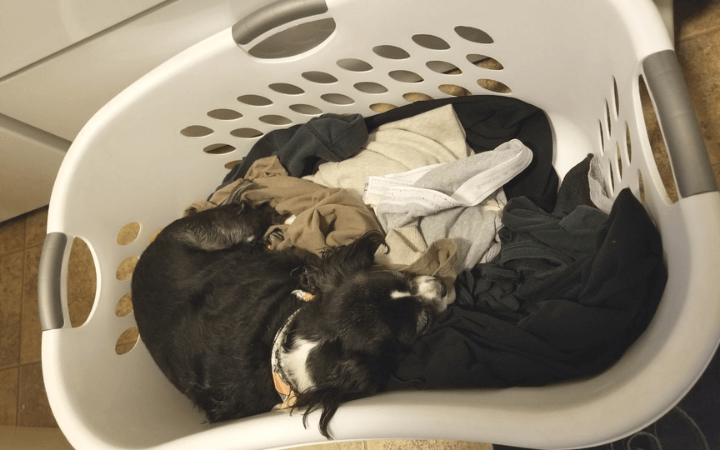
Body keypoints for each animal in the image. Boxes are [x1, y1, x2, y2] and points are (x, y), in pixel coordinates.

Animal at [131, 192, 449, 438]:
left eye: (403, 277)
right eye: (422, 324)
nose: (444, 286)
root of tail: (147, 250)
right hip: (230, 228)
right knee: (256, 215)